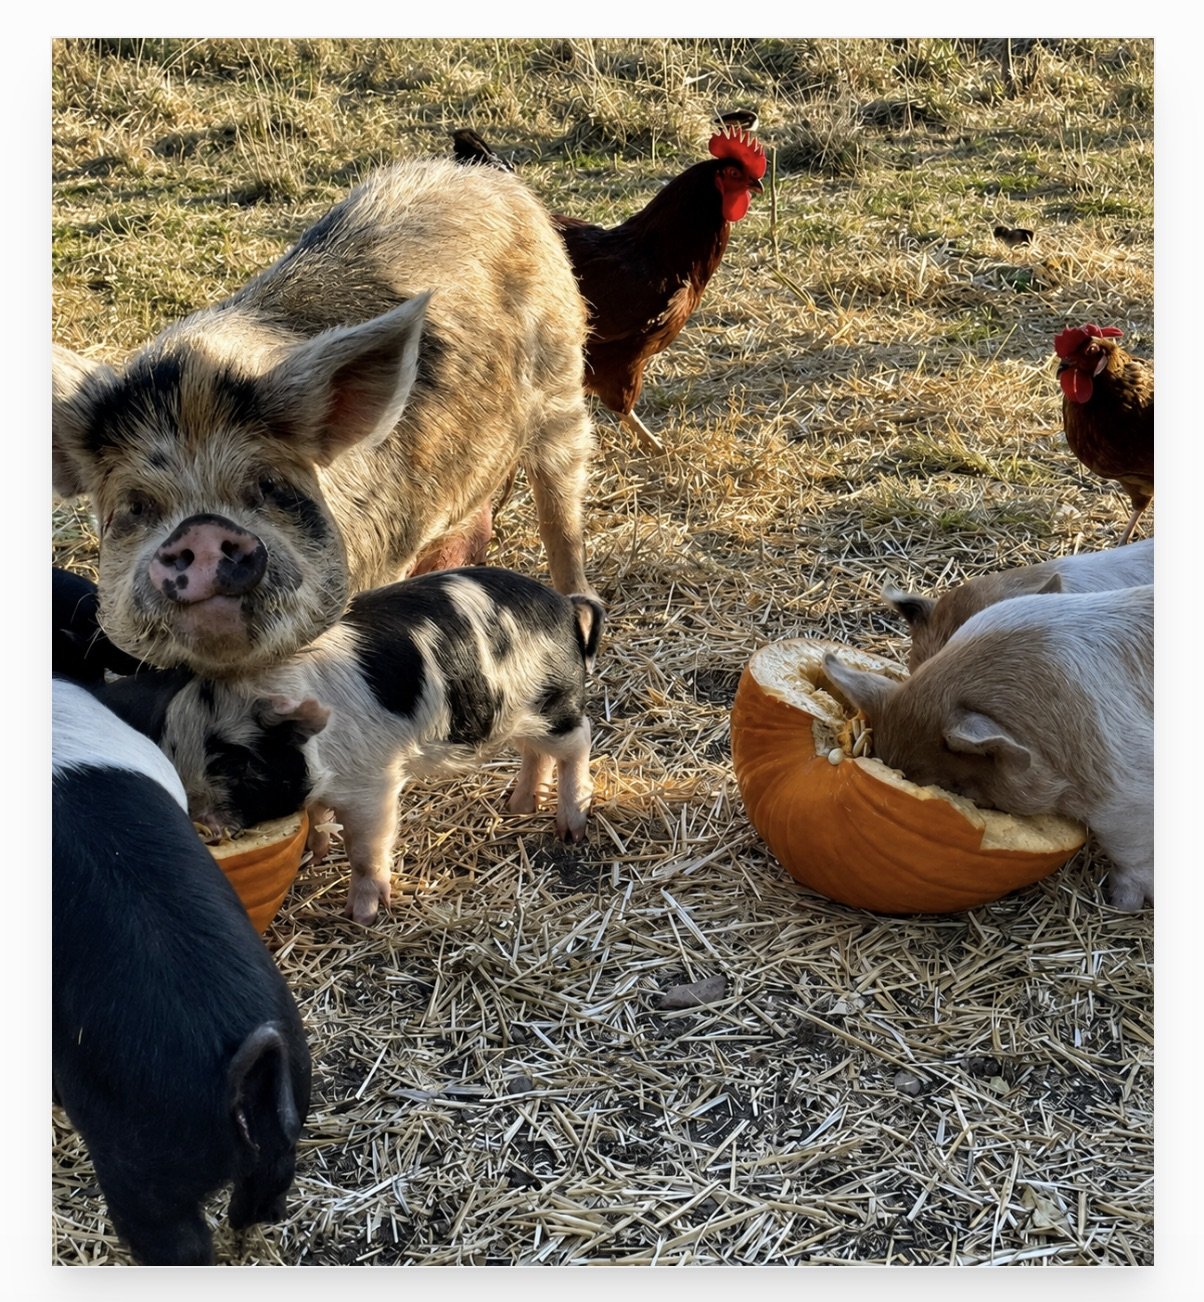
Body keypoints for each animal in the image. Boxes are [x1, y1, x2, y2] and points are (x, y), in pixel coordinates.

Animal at [51, 157, 596, 677]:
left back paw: (583, 614)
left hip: (562, 382)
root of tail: (488, 178)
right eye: (135, 507)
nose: (200, 530)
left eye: (269, 484)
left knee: (562, 500)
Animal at [156, 567, 605, 925]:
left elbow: (365, 848)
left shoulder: (373, 782)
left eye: (234, 762)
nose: (201, 822)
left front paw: (362, 917)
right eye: (173, 750)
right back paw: (518, 807)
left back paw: (570, 830)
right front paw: (315, 853)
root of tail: (563, 606)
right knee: (535, 751)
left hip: (555, 701)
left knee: (578, 743)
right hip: (520, 715)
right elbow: (317, 816)